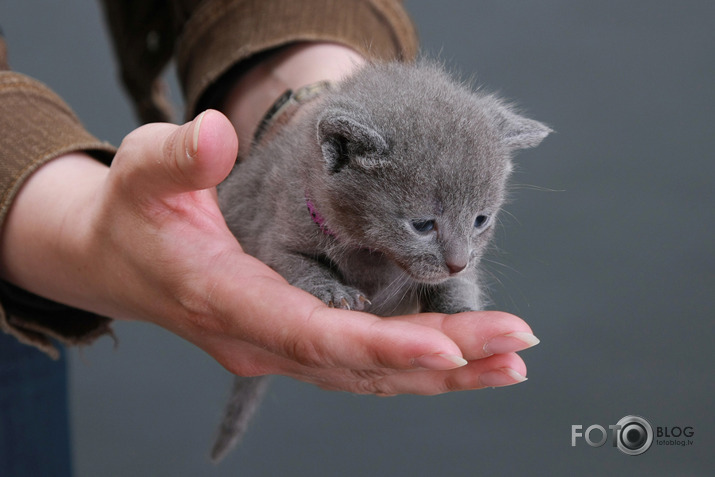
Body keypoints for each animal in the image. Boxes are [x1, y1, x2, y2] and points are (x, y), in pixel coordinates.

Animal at [210, 61, 552, 460]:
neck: (373, 255)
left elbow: (456, 284)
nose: (458, 262)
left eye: (481, 220)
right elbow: (298, 263)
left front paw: (461, 307)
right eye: (422, 225)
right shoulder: (274, 233)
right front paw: (335, 292)